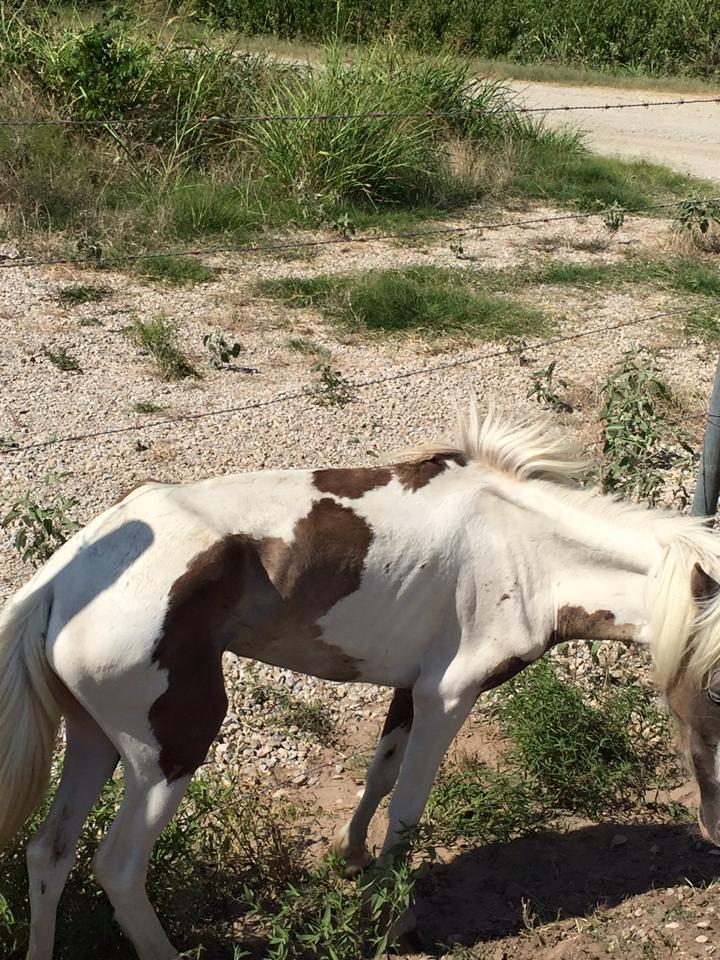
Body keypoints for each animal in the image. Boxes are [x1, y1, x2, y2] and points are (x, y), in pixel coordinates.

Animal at [1, 404, 720, 960]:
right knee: (118, 869)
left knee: (49, 855)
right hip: (170, 751)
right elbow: (407, 810)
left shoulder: (413, 689)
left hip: (93, 741)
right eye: (715, 688)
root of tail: (63, 575)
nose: (715, 831)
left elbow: (380, 775)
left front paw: (351, 863)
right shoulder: (448, 696)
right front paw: (395, 919)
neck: (522, 548)